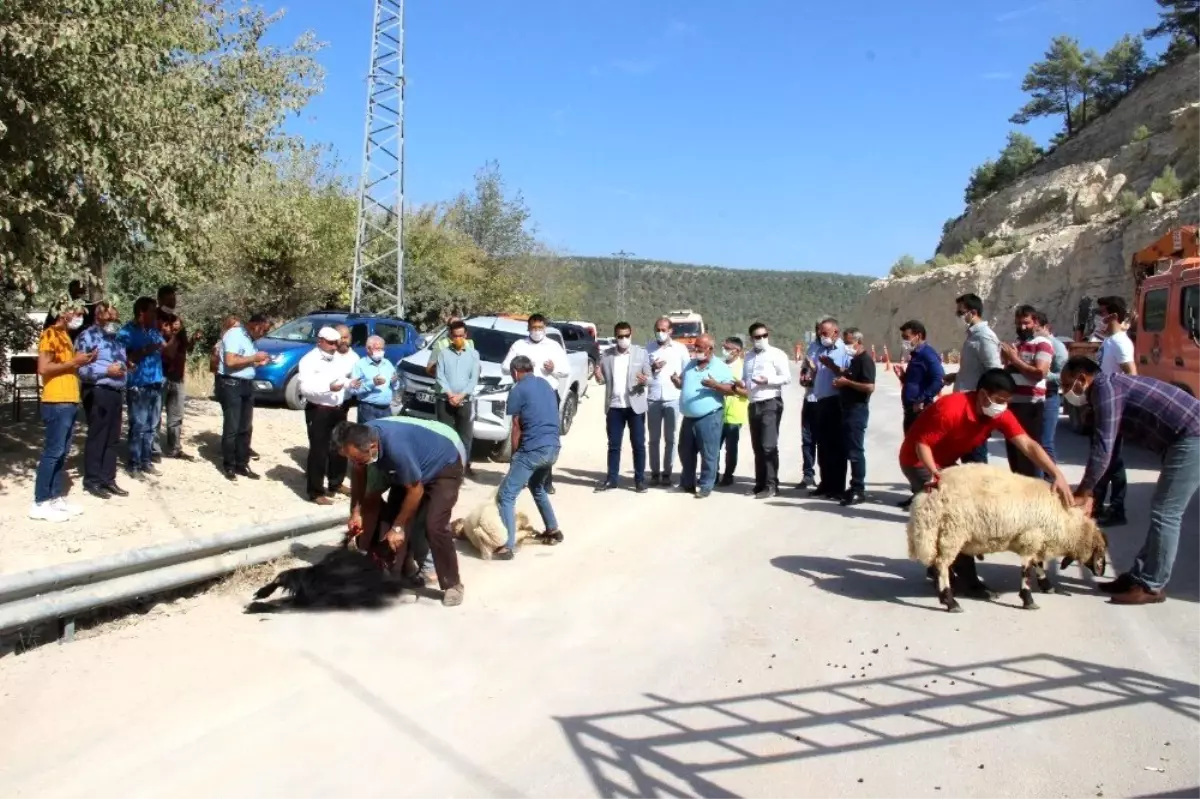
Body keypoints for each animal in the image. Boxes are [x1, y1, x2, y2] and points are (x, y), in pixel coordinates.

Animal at [907, 460, 1104, 609]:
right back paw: (950, 601)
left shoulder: (1036, 539)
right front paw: (1028, 599)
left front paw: (1047, 586)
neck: (1067, 525)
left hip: (942, 535)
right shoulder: (1030, 538)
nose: (1101, 573)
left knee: (942, 564)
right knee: (942, 564)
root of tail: (928, 493)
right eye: (1100, 552)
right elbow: (1027, 571)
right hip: (951, 532)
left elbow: (1038, 564)